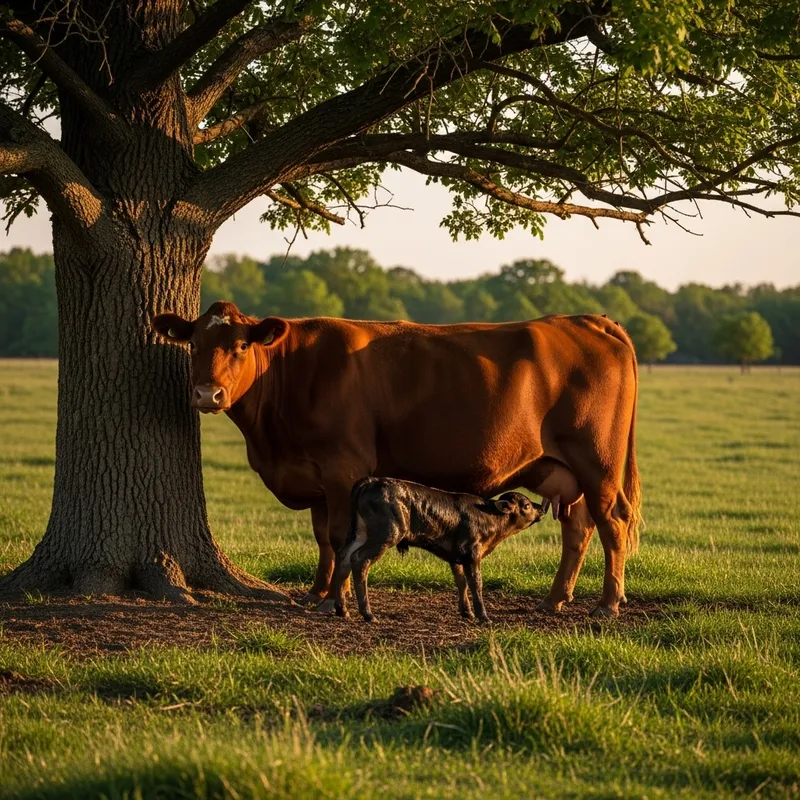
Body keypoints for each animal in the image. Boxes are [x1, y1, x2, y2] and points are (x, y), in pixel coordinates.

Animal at [332, 477, 548, 622]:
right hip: (385, 535)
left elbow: (462, 582)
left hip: (360, 534)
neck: (489, 517)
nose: (541, 509)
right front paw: (483, 616)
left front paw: (467, 612)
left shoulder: (457, 557)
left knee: (343, 557)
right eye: (526, 505)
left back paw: (342, 610)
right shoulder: (472, 554)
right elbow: (475, 583)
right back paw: (368, 614)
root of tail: (373, 480)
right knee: (359, 560)